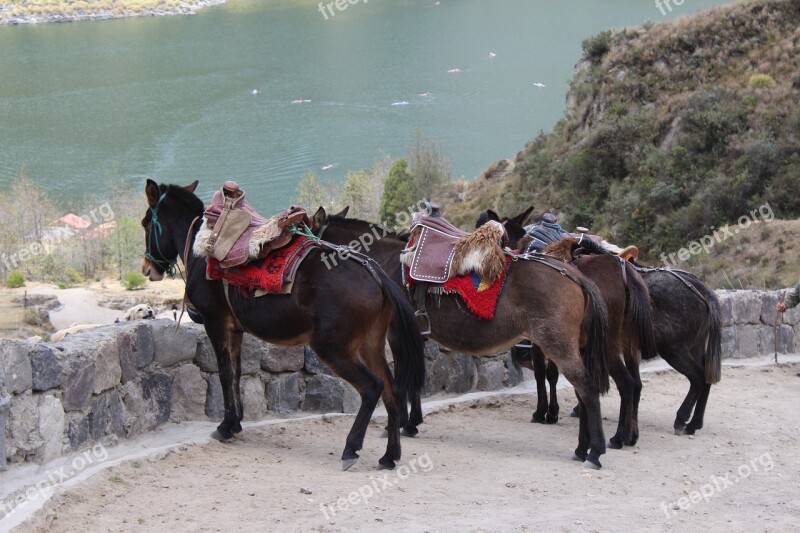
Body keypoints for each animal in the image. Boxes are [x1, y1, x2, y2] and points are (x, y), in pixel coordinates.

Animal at [139, 180, 424, 470]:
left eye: (146, 223)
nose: (147, 268)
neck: (203, 243)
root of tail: (375, 274)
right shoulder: (235, 329)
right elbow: (236, 372)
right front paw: (236, 422)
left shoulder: (215, 322)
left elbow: (225, 372)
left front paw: (226, 426)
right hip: (371, 345)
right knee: (392, 388)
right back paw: (389, 455)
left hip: (333, 348)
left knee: (372, 387)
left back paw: (351, 448)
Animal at [312, 210, 612, 468]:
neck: (387, 261)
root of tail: (575, 275)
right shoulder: (417, 335)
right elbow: (416, 380)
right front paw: (412, 423)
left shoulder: (398, 334)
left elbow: (403, 381)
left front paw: (397, 427)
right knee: (582, 391)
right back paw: (582, 447)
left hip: (558, 345)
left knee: (586, 388)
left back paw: (594, 451)